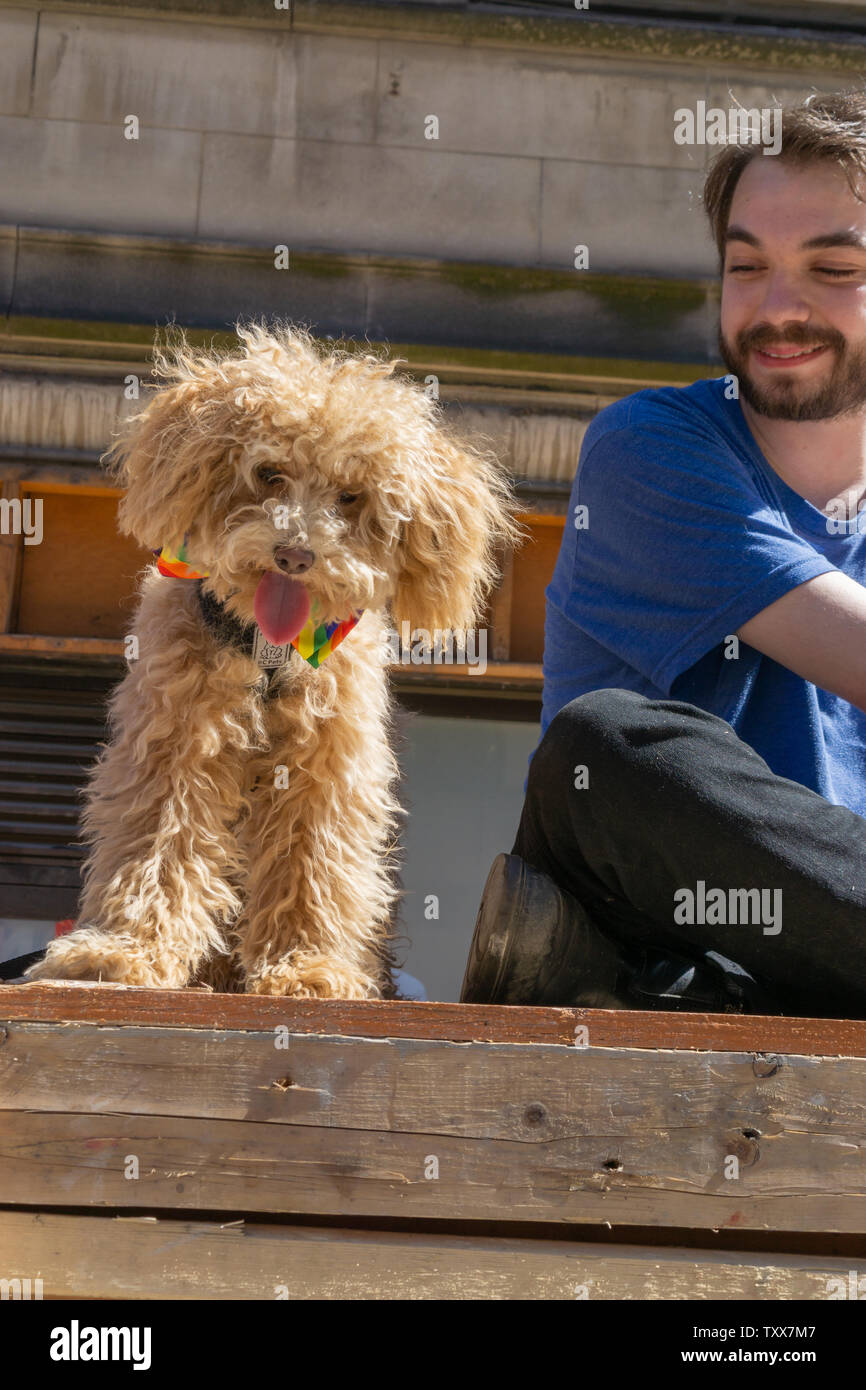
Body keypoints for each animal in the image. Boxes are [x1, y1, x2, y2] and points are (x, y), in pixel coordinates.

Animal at [23, 322, 517, 1000]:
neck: (268, 652)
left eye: (351, 496)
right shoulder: (175, 744)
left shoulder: (326, 766)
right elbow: (156, 843)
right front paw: (122, 953)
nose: (296, 555)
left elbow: (312, 864)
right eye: (269, 472)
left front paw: (307, 967)